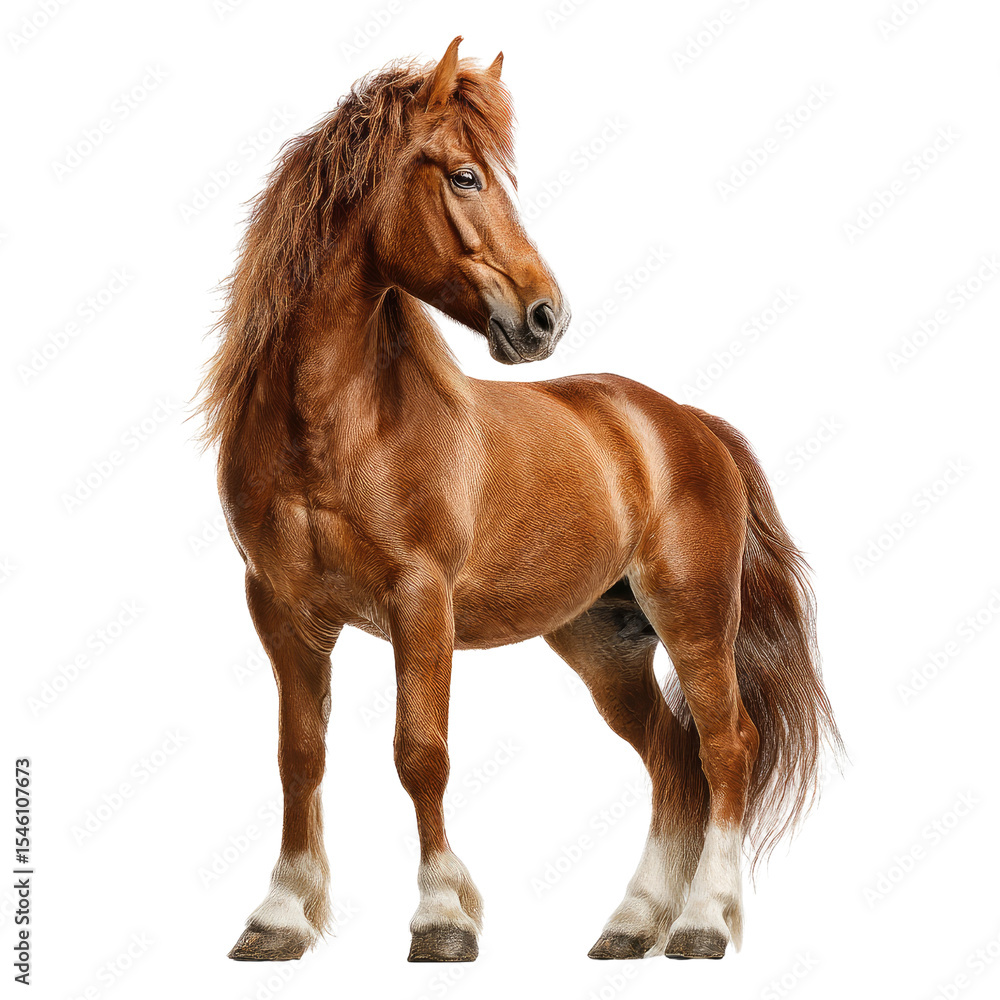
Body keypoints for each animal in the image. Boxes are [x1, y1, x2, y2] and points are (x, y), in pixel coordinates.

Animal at [199, 36, 842, 964]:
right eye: (466, 177)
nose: (545, 317)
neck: (339, 430)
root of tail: (685, 422)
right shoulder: (280, 608)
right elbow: (298, 756)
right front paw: (279, 918)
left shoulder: (420, 600)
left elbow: (420, 753)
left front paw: (442, 919)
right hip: (605, 644)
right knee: (672, 761)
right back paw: (631, 925)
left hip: (692, 617)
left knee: (727, 748)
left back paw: (700, 923)